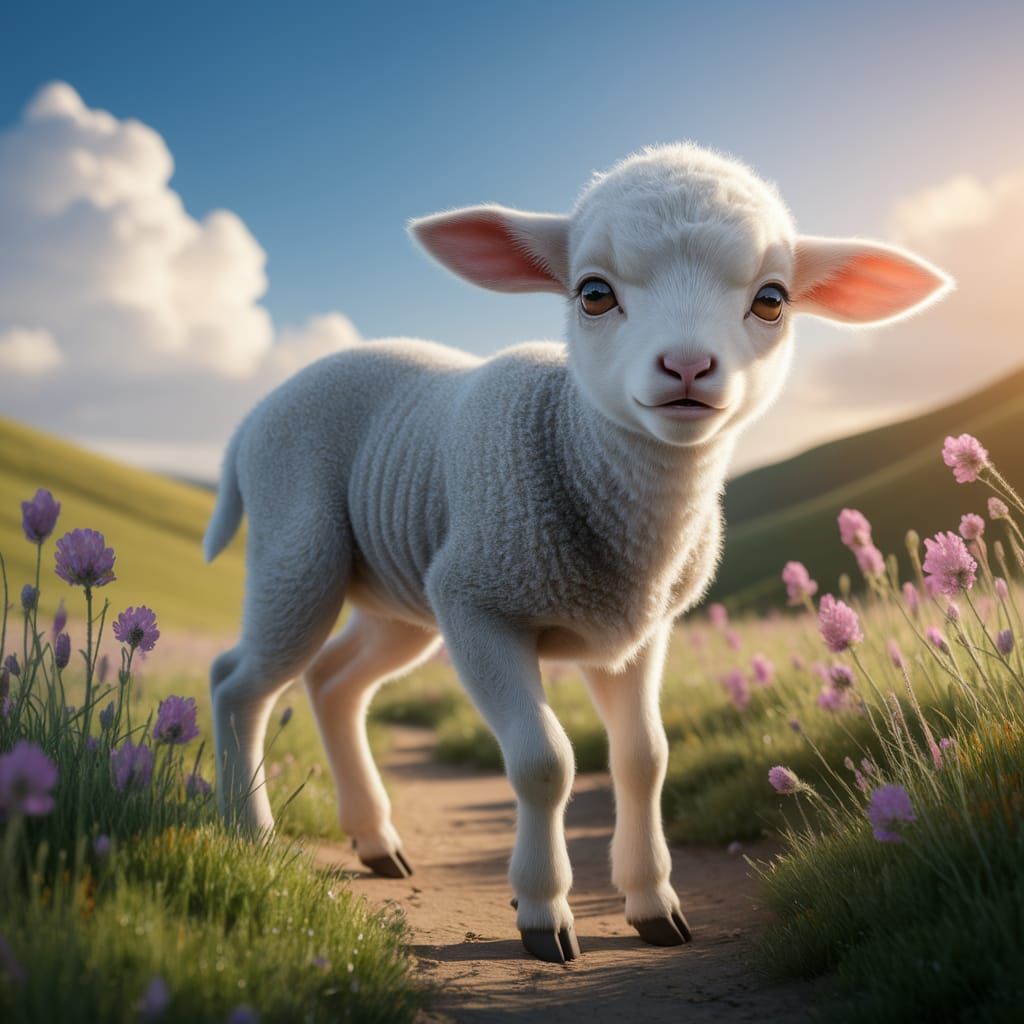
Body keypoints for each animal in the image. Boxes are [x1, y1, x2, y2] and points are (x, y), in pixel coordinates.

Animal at [204, 143, 951, 963]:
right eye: (593, 293)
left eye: (772, 300)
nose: (687, 367)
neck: (576, 445)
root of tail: (253, 416)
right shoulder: (479, 605)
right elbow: (544, 763)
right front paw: (542, 913)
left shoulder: (636, 633)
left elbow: (644, 758)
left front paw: (653, 903)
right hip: (298, 547)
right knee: (238, 682)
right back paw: (252, 836)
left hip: (400, 597)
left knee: (335, 682)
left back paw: (375, 841)